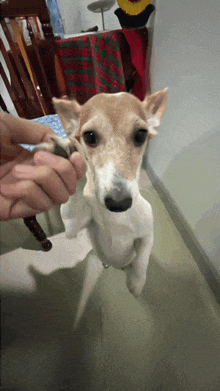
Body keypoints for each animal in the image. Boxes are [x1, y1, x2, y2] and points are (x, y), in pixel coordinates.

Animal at [36, 89, 167, 298]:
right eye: (89, 136)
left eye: (141, 135)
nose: (119, 203)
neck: (115, 219)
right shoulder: (72, 227)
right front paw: (65, 152)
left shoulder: (147, 235)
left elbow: (142, 260)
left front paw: (136, 283)